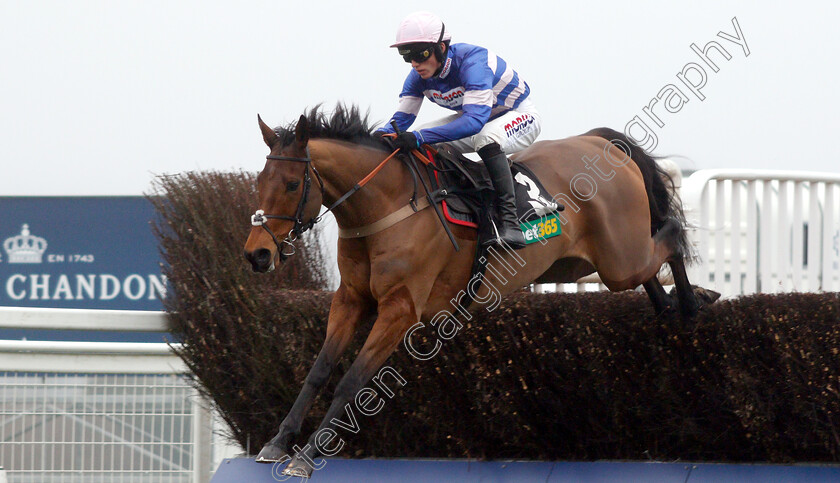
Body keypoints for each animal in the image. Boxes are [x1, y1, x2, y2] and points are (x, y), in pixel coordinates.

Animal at [243, 105, 716, 476]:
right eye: (260, 182)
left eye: (291, 184)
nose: (258, 254)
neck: (386, 207)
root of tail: (600, 142)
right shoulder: (351, 300)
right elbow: (319, 370)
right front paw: (277, 442)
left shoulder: (401, 308)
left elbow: (351, 381)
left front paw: (307, 455)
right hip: (597, 260)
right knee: (651, 269)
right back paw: (672, 304)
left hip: (619, 260)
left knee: (670, 236)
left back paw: (694, 303)